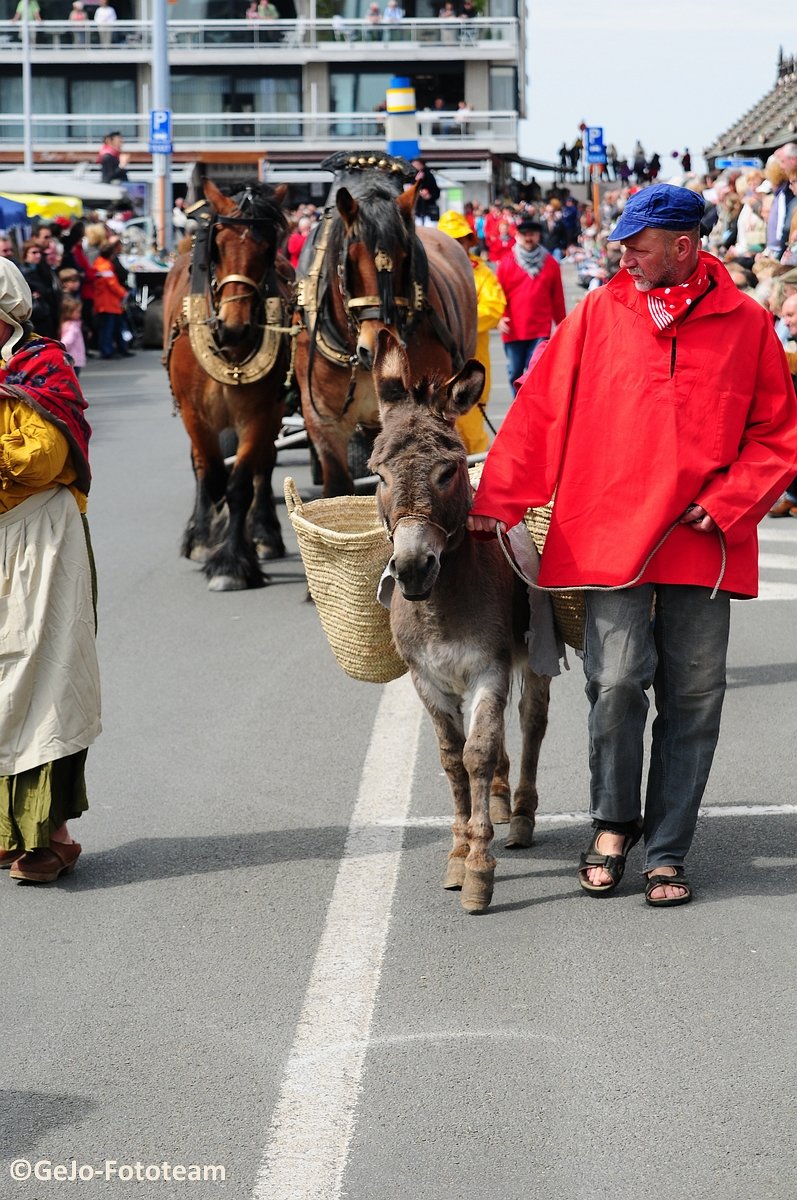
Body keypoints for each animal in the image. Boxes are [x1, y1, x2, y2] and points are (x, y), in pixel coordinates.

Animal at [163, 178, 294, 590]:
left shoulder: (260, 413)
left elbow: (240, 484)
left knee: (264, 466)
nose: (234, 327)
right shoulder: (195, 414)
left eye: (267, 248)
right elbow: (213, 473)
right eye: (218, 245)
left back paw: (264, 534)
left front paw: (233, 562)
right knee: (203, 468)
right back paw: (203, 532)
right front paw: (210, 539)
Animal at [369, 333, 552, 912]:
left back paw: (520, 816)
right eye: (378, 473)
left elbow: (479, 750)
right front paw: (457, 852)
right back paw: (494, 802)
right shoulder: (426, 678)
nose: (411, 568)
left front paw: (478, 868)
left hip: (534, 652)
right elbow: (453, 757)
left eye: (446, 471)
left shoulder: (488, 669)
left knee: (531, 722)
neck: (439, 606)